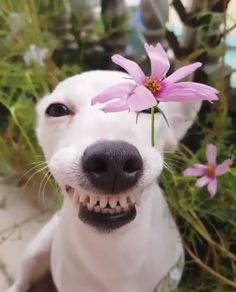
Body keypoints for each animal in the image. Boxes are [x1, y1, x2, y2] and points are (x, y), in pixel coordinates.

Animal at [6, 70, 200, 292]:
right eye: (56, 109)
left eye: (151, 109)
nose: (114, 158)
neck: (113, 250)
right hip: (36, 248)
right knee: (23, 279)